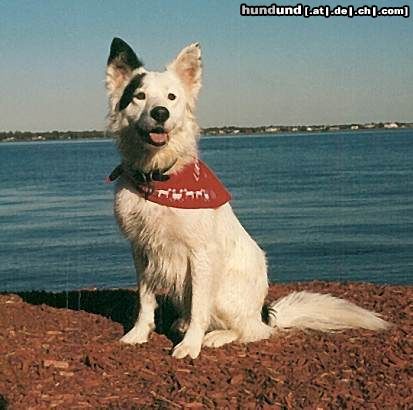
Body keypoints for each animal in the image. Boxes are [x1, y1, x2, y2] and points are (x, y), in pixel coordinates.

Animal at [104, 38, 388, 358]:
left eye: (171, 97)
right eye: (139, 96)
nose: (160, 113)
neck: (157, 178)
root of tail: (263, 312)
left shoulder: (201, 254)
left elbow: (199, 308)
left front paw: (191, 345)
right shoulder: (142, 250)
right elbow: (145, 298)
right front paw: (139, 333)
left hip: (225, 292)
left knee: (252, 331)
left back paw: (215, 335)